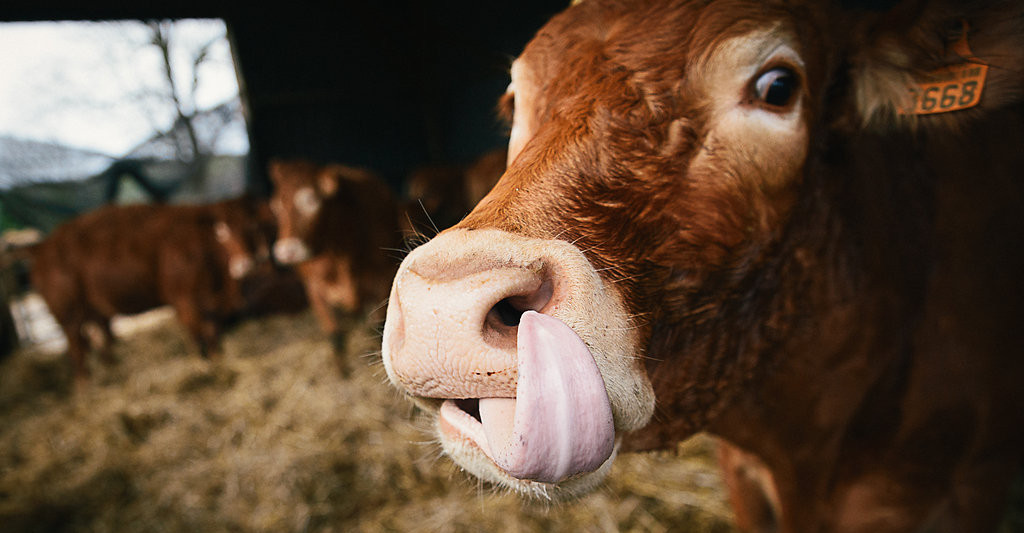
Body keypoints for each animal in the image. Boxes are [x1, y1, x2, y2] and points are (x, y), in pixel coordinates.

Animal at [30, 195, 272, 382]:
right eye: (221, 232)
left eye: (252, 227)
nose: (246, 264)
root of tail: (44, 246)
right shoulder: (184, 301)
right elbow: (196, 336)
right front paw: (201, 365)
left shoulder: (211, 305)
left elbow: (213, 335)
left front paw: (219, 361)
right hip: (68, 315)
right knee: (77, 350)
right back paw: (85, 389)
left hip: (93, 311)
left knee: (100, 341)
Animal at [266, 159, 401, 372]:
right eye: (275, 205)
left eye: (312, 201)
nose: (286, 251)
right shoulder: (314, 289)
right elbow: (334, 333)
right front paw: (341, 369)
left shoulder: (383, 279)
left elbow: (378, 328)